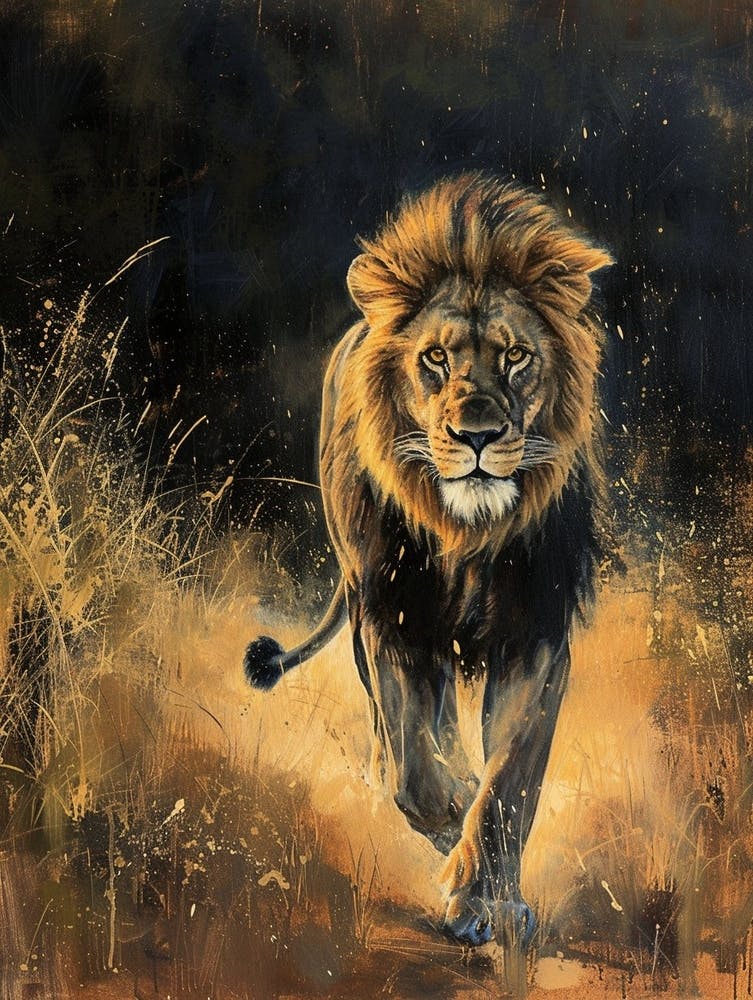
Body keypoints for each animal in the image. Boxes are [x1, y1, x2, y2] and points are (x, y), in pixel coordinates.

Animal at [244, 173, 612, 949]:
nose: (477, 435)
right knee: (402, 743)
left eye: (516, 356)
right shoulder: (392, 621)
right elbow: (415, 776)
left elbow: (509, 786)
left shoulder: (535, 638)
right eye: (435, 359)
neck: (465, 535)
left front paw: (487, 897)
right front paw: (453, 834)